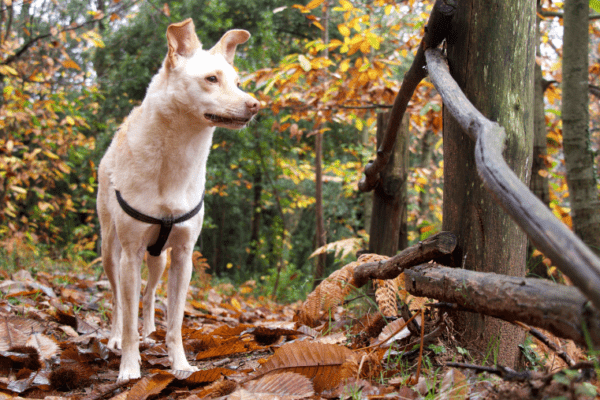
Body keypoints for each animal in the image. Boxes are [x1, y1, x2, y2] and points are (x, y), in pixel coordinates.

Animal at [96, 19, 258, 382]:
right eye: (211, 79)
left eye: (238, 82)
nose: (256, 105)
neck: (176, 161)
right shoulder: (131, 255)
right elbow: (127, 314)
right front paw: (129, 367)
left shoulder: (184, 257)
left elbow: (176, 321)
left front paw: (180, 364)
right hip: (112, 253)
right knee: (118, 301)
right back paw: (115, 339)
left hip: (159, 260)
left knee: (148, 294)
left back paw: (148, 330)